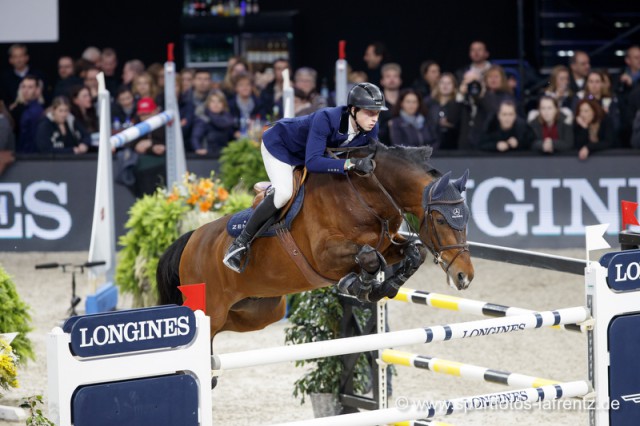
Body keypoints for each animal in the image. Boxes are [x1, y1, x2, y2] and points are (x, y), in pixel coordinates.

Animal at [158, 141, 472, 340]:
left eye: (466, 217)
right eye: (441, 220)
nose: (464, 276)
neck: (365, 195)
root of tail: (191, 240)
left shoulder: (389, 242)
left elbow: (413, 252)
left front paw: (382, 287)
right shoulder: (324, 255)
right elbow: (368, 256)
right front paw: (358, 285)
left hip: (261, 309)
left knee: (224, 327)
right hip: (211, 303)